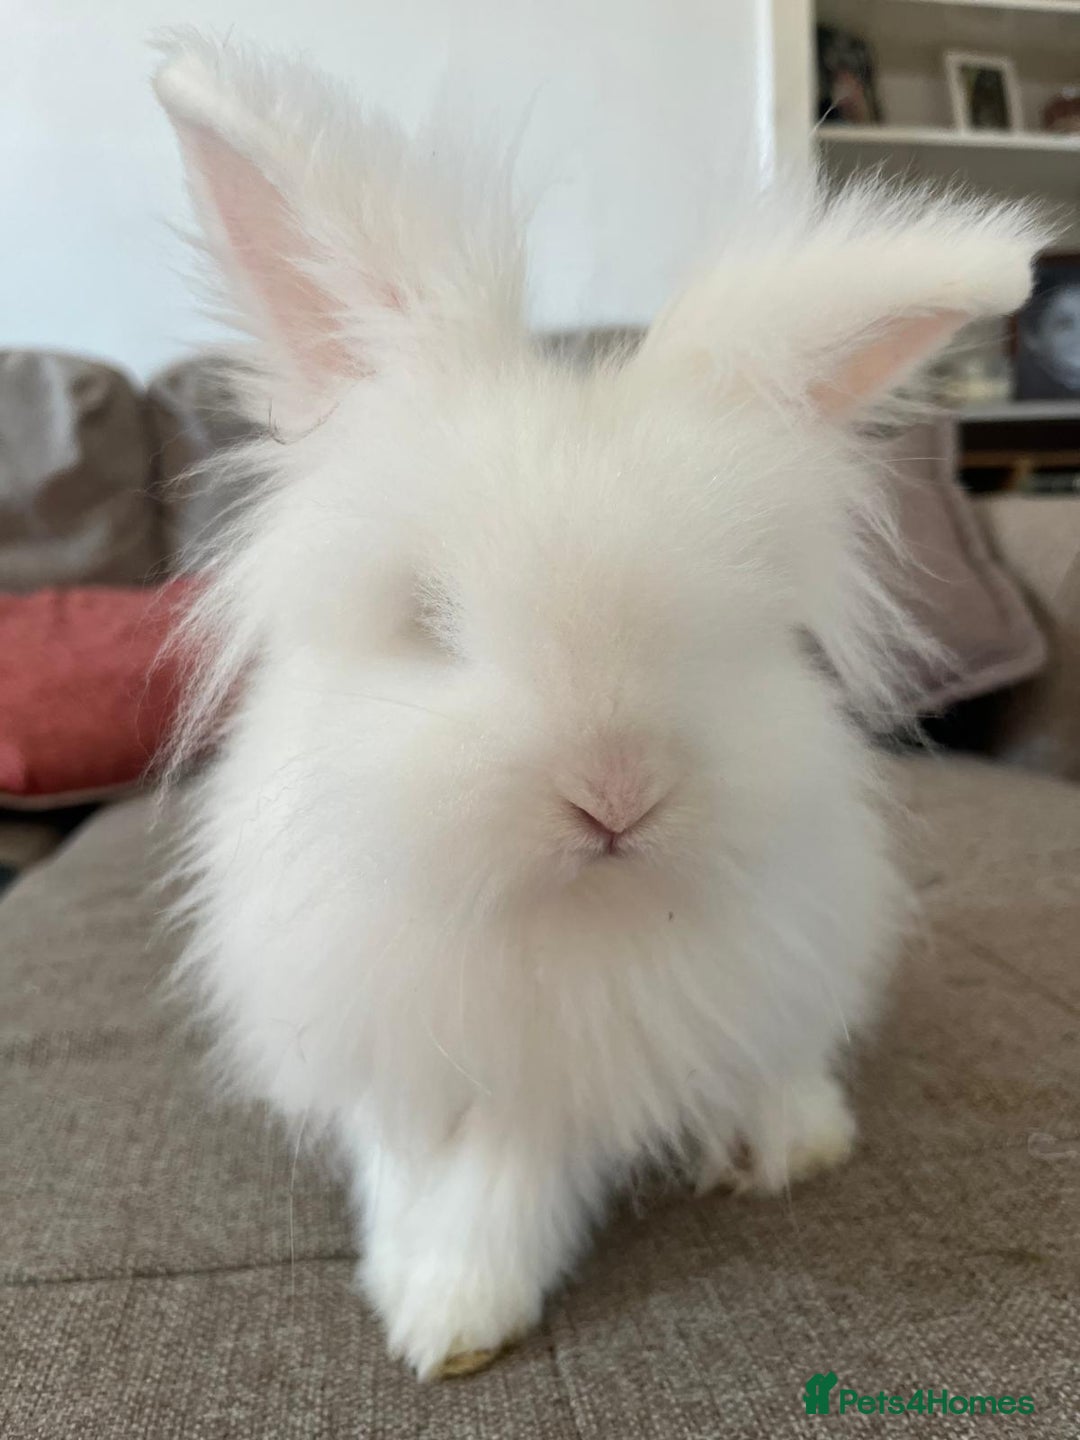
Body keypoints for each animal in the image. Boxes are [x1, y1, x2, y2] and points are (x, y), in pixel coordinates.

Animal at [154, 30, 1040, 1381]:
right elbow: (423, 1168)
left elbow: (511, 1174)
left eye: (736, 624)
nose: (614, 791)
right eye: (429, 619)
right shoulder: (387, 1043)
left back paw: (791, 1143)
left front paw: (451, 1314)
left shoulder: (575, 1071)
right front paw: (430, 1307)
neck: (563, 922)